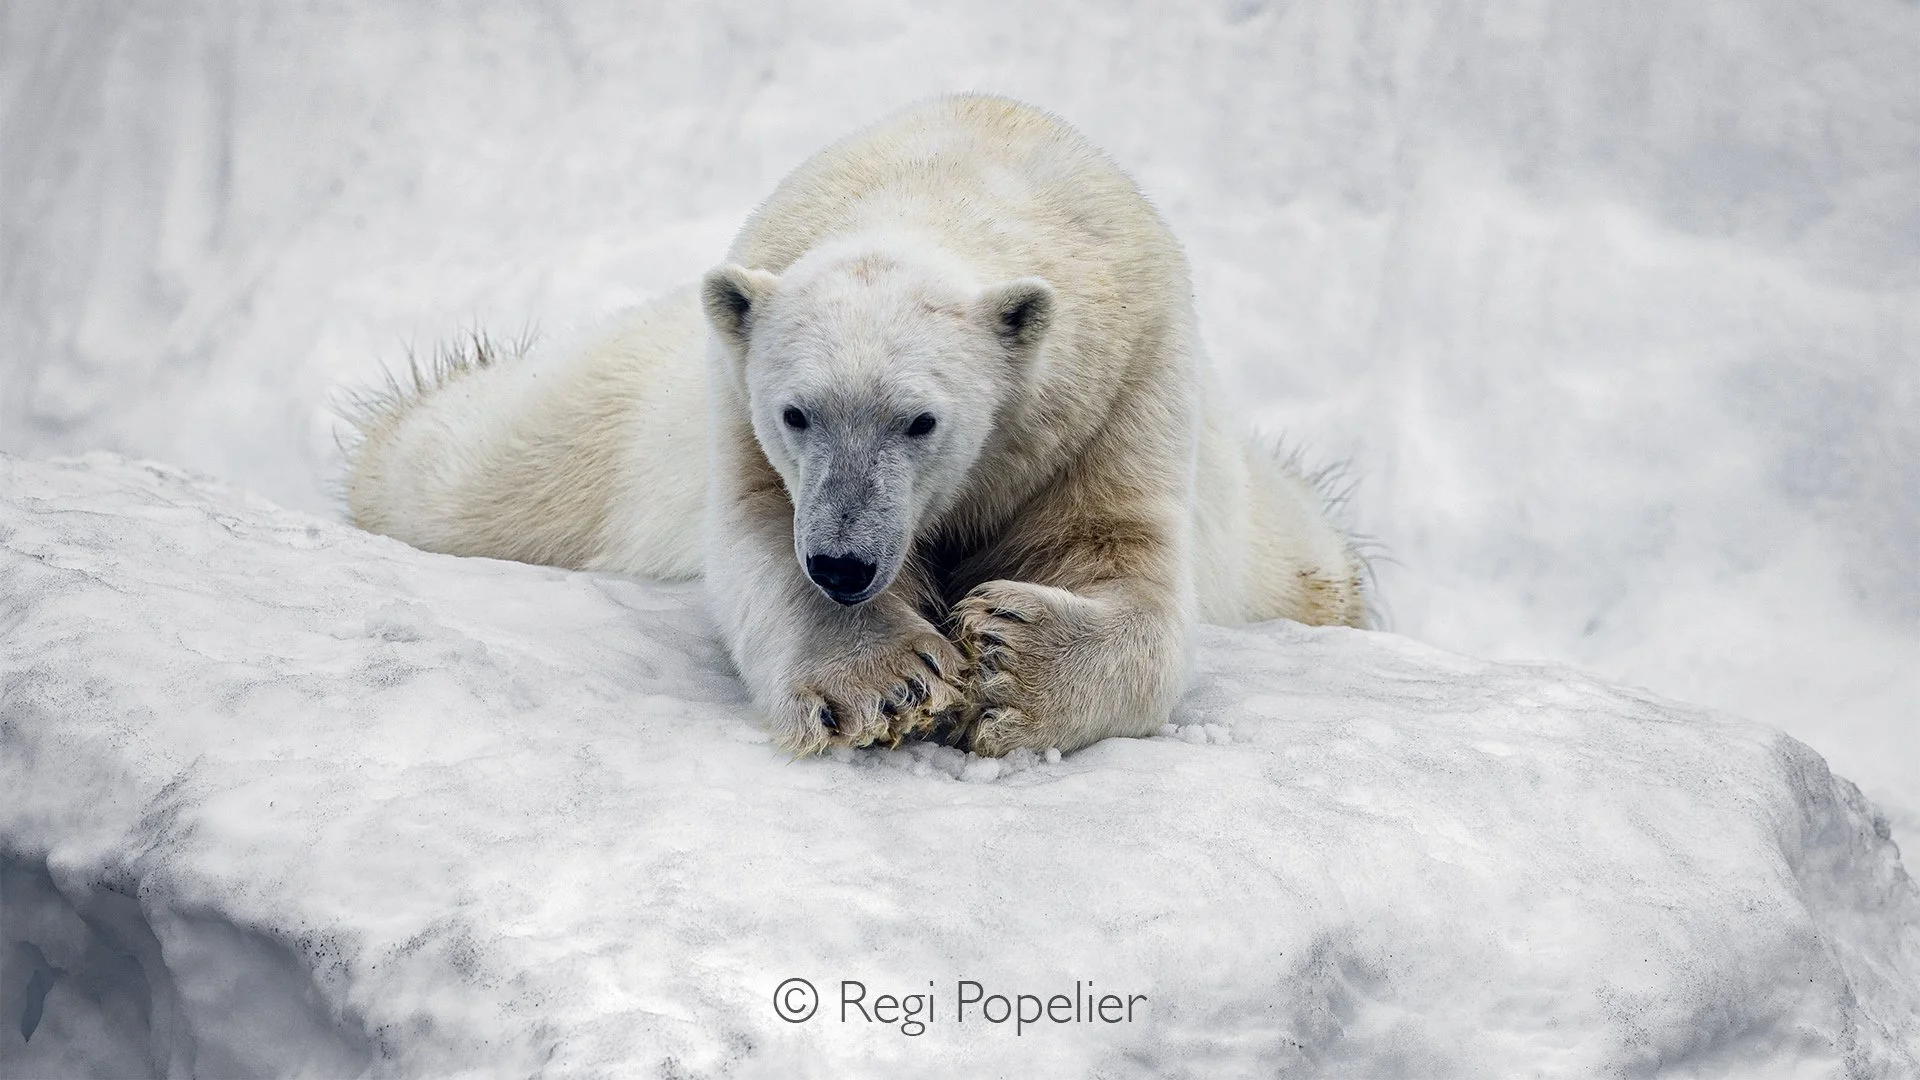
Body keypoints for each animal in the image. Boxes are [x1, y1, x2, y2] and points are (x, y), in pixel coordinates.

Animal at [344, 94, 1368, 757]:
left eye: (920, 421)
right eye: (796, 412)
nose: (841, 562)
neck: (960, 179)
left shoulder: (1116, 396)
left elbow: (1130, 575)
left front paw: (1009, 660)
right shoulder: (737, 405)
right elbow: (761, 541)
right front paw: (889, 681)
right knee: (471, 465)